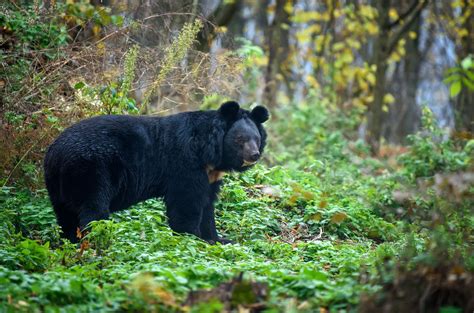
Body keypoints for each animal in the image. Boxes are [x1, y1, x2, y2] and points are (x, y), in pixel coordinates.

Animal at [44, 101, 268, 243]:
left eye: (257, 139)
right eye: (240, 139)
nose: (254, 155)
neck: (211, 153)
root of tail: (56, 152)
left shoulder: (211, 175)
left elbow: (207, 205)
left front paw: (219, 239)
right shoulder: (186, 165)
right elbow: (186, 203)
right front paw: (194, 237)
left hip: (60, 185)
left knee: (66, 215)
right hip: (92, 170)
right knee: (93, 209)